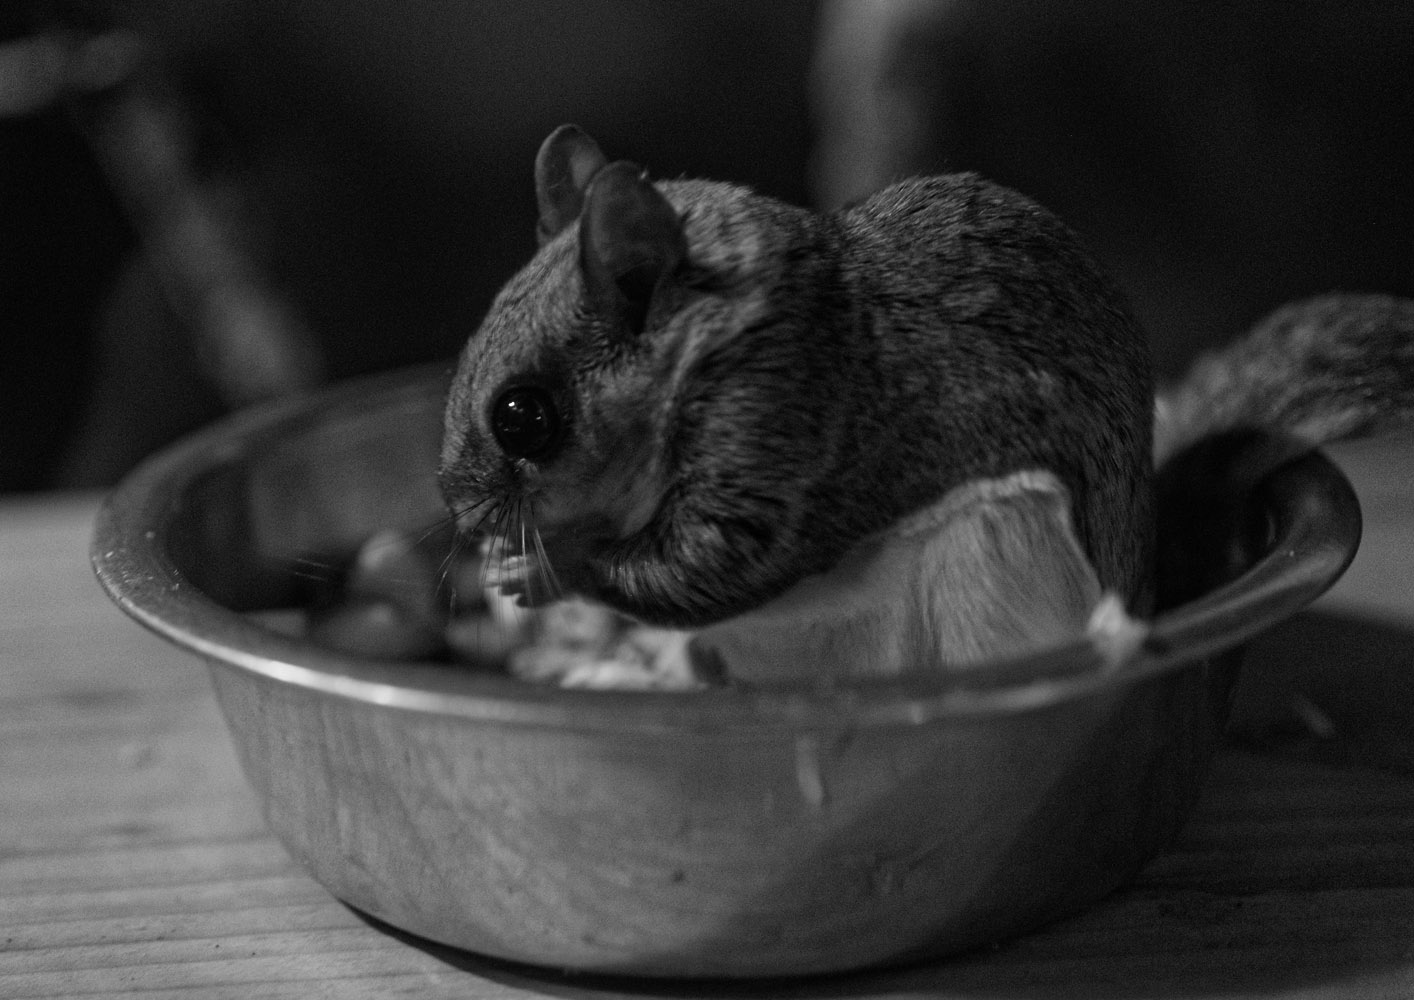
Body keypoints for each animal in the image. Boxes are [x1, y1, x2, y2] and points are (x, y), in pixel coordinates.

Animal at [438, 125, 1414, 684]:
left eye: (524, 415)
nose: (461, 510)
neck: (707, 341)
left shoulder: (782, 425)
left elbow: (717, 560)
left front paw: (550, 570)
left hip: (1000, 548)